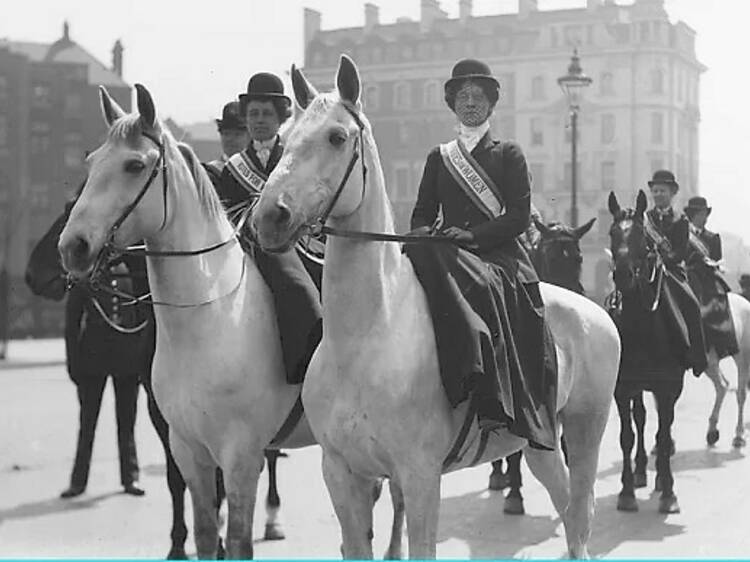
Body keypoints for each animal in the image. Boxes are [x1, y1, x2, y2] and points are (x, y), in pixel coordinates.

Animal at [24, 200, 288, 556]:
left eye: (69, 211)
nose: (32, 273)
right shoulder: (164, 416)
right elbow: (176, 480)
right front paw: (179, 543)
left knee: (270, 456)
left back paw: (272, 517)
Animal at [608, 190, 692, 516]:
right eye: (612, 232)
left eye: (640, 235)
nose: (622, 275)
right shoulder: (622, 388)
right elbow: (627, 436)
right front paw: (626, 491)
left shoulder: (668, 387)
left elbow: (664, 434)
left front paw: (669, 493)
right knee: (641, 419)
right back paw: (642, 471)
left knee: (659, 428)